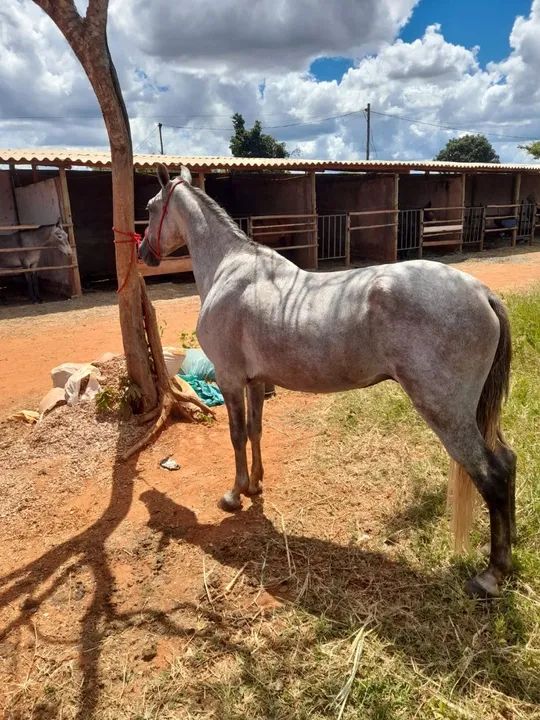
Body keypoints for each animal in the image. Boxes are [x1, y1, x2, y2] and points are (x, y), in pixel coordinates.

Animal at [139, 164, 516, 599]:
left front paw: (234, 495)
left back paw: (491, 576)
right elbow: (255, 430)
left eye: (149, 209)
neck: (229, 268)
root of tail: (482, 292)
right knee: (508, 462)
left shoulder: (230, 379)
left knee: (492, 476)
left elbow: (235, 436)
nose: (143, 253)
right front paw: (255, 487)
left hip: (447, 413)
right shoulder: (255, 382)